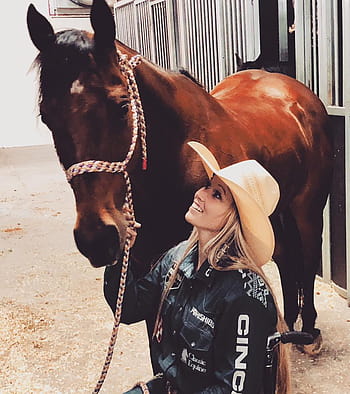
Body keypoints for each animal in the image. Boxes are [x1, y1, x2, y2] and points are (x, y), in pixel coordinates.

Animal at [26, 0, 332, 358]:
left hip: (307, 209)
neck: (181, 153)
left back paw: (309, 333)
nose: (96, 238)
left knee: (308, 258)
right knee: (286, 258)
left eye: (122, 106)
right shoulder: (149, 270)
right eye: (47, 115)